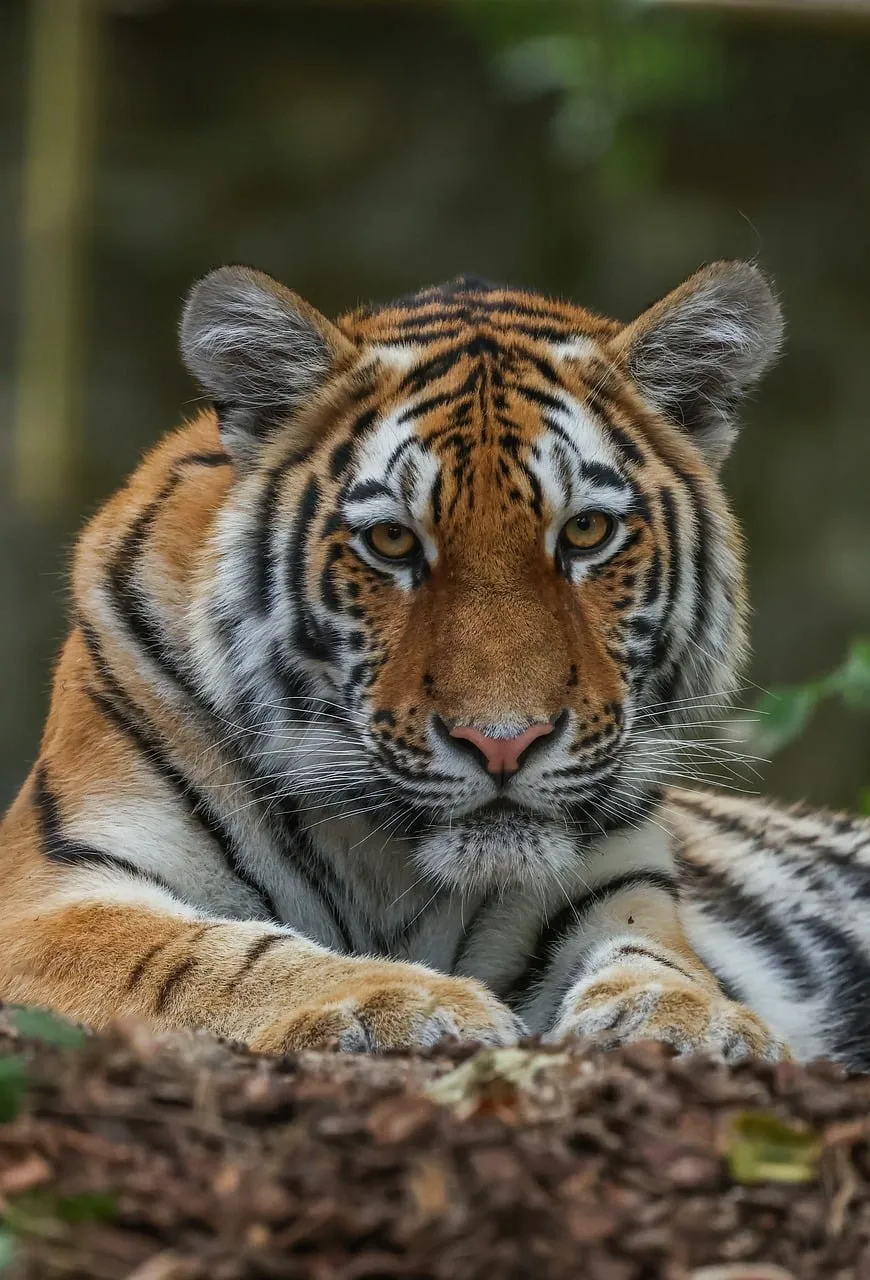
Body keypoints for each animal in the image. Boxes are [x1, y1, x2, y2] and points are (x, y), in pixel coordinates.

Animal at [2, 259, 870, 1069]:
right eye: (392, 541)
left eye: (586, 532)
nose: (503, 744)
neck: (384, 864)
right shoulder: (50, 894)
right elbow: (204, 956)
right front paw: (400, 999)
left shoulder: (614, 887)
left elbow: (653, 956)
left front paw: (694, 1020)